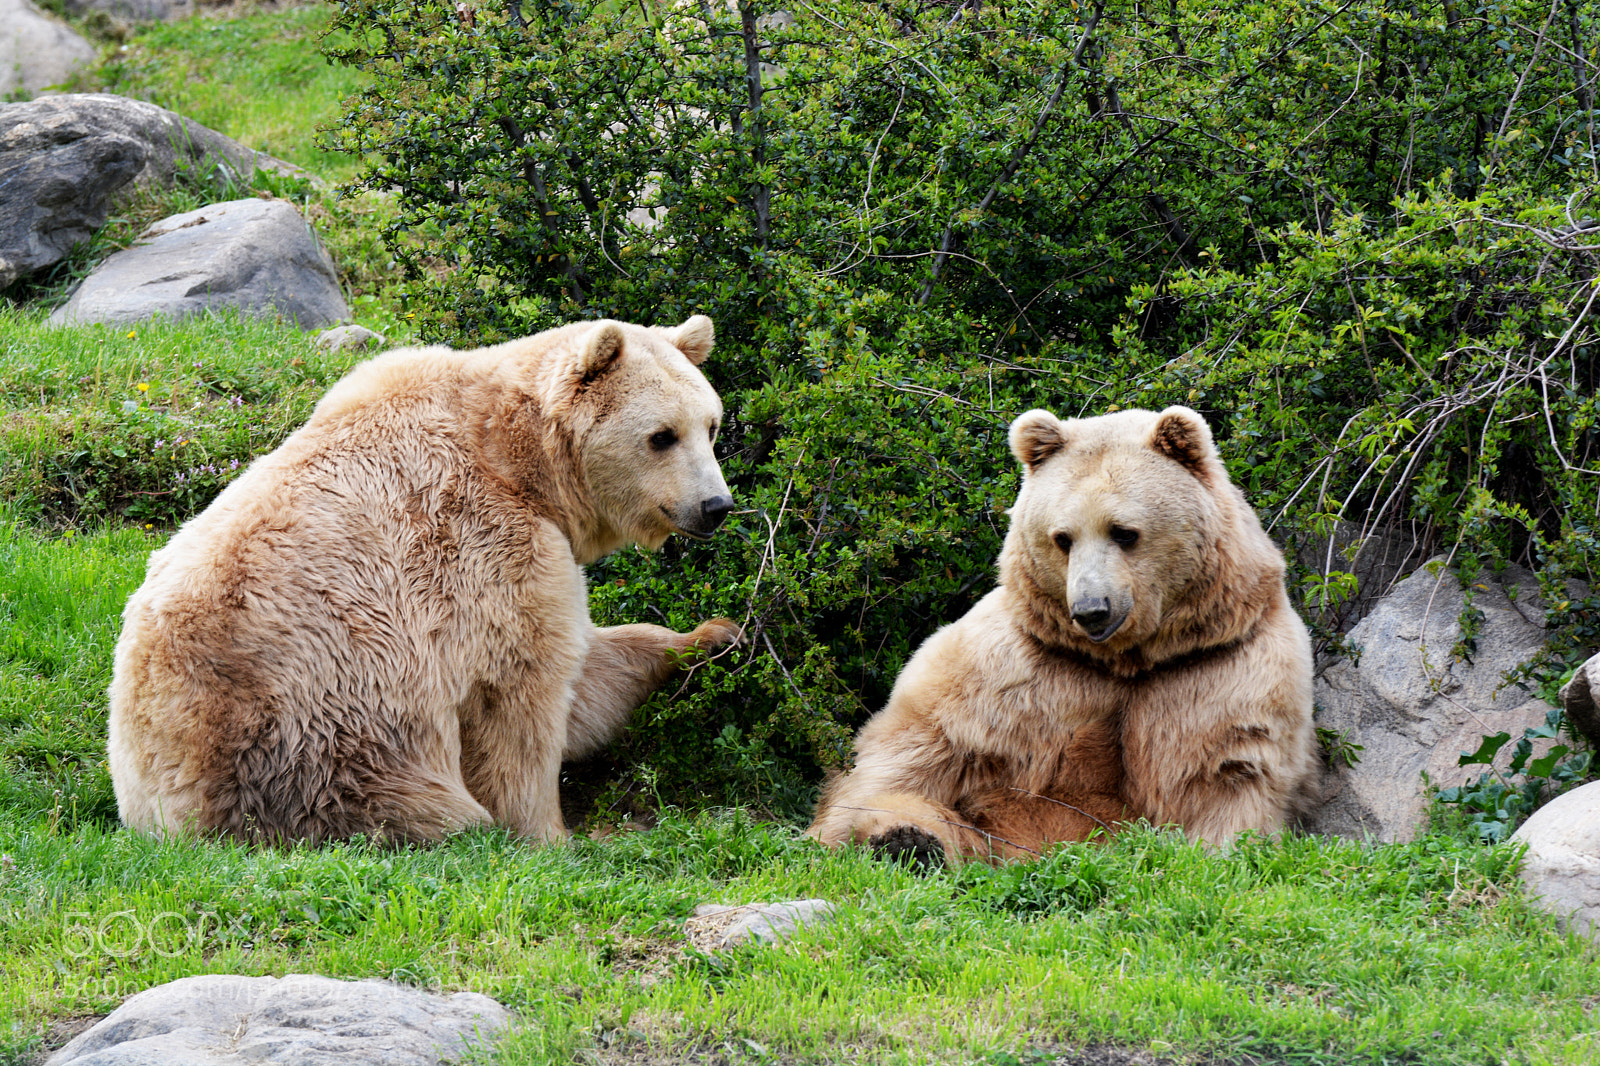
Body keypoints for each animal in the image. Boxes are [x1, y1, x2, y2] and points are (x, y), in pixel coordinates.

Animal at [108, 315, 740, 846]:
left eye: (711, 425)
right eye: (662, 435)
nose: (715, 506)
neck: (519, 462)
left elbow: (593, 672)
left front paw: (714, 635)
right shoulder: (488, 550)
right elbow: (524, 695)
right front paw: (550, 834)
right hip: (323, 733)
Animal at [807, 405, 1316, 864]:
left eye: (1124, 532)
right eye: (1062, 538)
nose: (1091, 610)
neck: (1124, 657)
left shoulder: (1219, 663)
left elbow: (1223, 772)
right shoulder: (1012, 665)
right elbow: (907, 757)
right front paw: (887, 831)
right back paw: (906, 841)